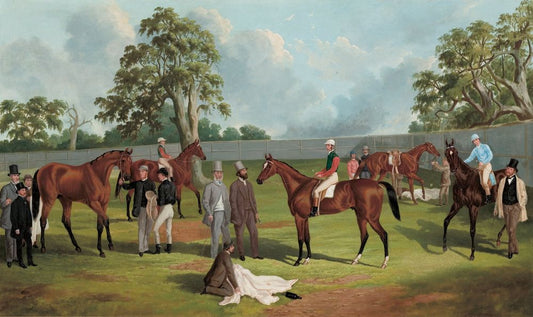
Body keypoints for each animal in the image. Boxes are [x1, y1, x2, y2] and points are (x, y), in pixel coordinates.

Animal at [255, 154, 400, 268]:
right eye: (262, 165)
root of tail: (376, 184)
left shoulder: (299, 217)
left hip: (371, 218)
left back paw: (384, 263)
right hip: (361, 217)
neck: (300, 186)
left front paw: (297, 261)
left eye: (268, 166)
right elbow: (307, 238)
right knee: (364, 236)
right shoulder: (305, 218)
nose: (258, 180)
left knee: (383, 234)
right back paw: (355, 260)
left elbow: (300, 239)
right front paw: (307, 259)